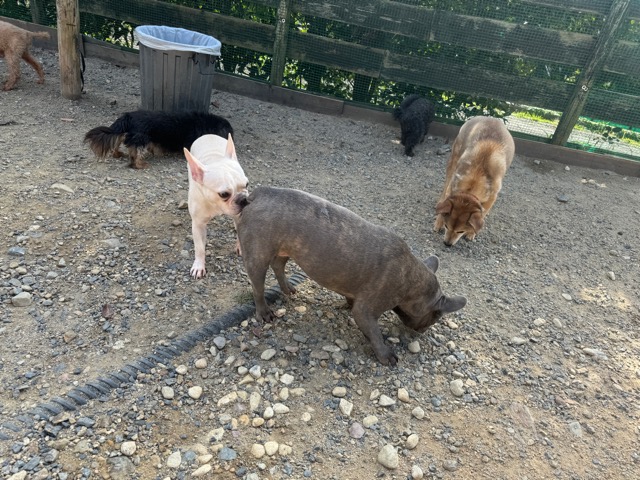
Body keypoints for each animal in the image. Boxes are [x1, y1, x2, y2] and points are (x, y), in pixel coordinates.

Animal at [84, 110, 234, 169]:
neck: (206, 124)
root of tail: (129, 116)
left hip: (129, 134)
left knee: (118, 141)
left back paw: (117, 154)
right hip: (142, 138)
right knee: (135, 154)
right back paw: (140, 164)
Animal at [183, 134, 248, 279]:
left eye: (247, 184)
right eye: (224, 194)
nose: (243, 199)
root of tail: (208, 135)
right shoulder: (198, 225)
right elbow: (199, 248)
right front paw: (199, 265)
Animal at [234, 186, 467, 365]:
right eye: (435, 317)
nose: (423, 331)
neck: (412, 278)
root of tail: (256, 195)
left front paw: (347, 304)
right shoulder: (367, 310)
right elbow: (375, 333)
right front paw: (386, 356)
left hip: (286, 249)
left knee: (278, 265)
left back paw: (288, 289)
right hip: (257, 254)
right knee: (258, 285)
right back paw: (265, 313)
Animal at [433, 116, 515, 246]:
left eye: (461, 231)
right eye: (446, 226)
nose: (447, 244)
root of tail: (489, 117)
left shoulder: (492, 196)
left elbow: (483, 213)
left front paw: (472, 233)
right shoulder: (453, 186)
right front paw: (438, 222)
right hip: (454, 160)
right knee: (445, 185)